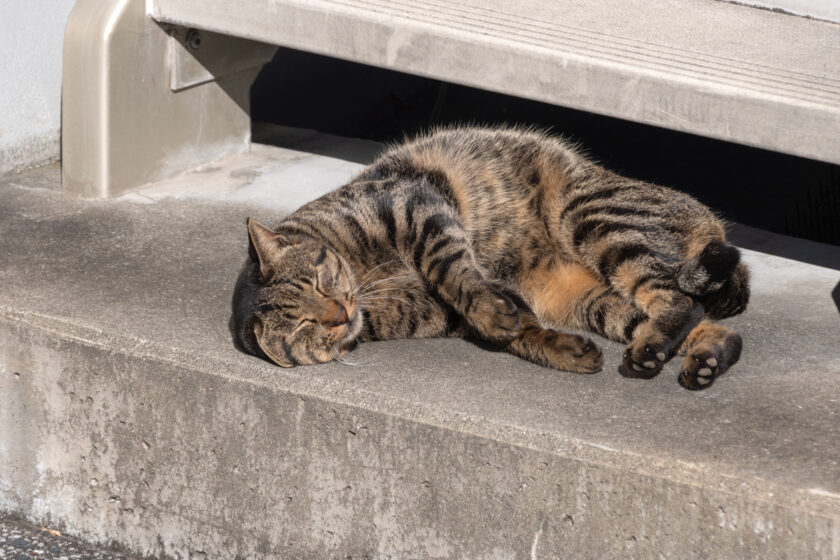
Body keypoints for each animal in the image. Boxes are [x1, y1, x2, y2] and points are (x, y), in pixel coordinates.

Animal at [231, 127, 748, 390]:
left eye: (319, 281)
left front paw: (492, 308)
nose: (339, 313)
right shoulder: (435, 312)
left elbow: (452, 270)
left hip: (592, 217)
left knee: (678, 300)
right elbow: (520, 332)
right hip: (589, 299)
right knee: (705, 323)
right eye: (303, 327)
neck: (368, 279)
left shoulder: (417, 206)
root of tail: (712, 222)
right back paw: (704, 358)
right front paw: (559, 349)